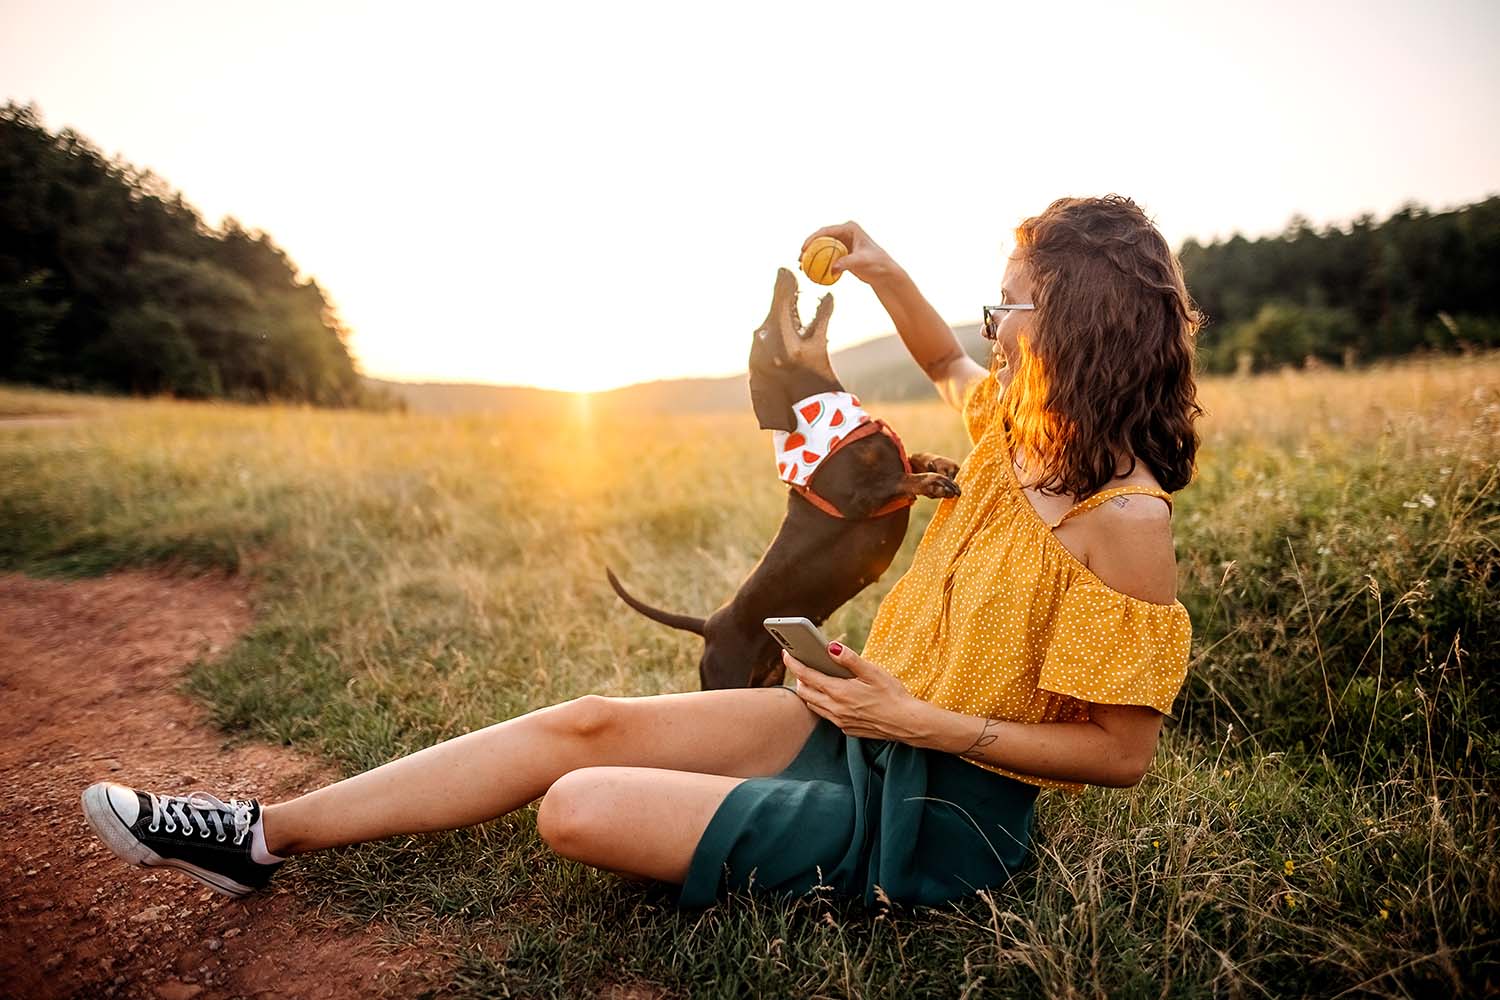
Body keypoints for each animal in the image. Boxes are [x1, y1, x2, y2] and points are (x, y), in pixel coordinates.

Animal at [606, 265, 960, 689]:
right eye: (762, 333)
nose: (782, 271)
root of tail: (709, 625)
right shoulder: (855, 497)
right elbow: (893, 480)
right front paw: (930, 483)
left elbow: (913, 459)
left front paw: (940, 464)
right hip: (724, 679)